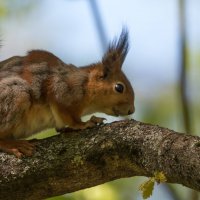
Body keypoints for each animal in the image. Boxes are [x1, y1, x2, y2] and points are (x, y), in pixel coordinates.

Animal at [0, 27, 135, 157]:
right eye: (119, 87)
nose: (131, 110)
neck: (84, 85)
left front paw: (94, 119)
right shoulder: (60, 90)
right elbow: (69, 117)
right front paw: (83, 124)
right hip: (16, 96)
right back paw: (13, 145)